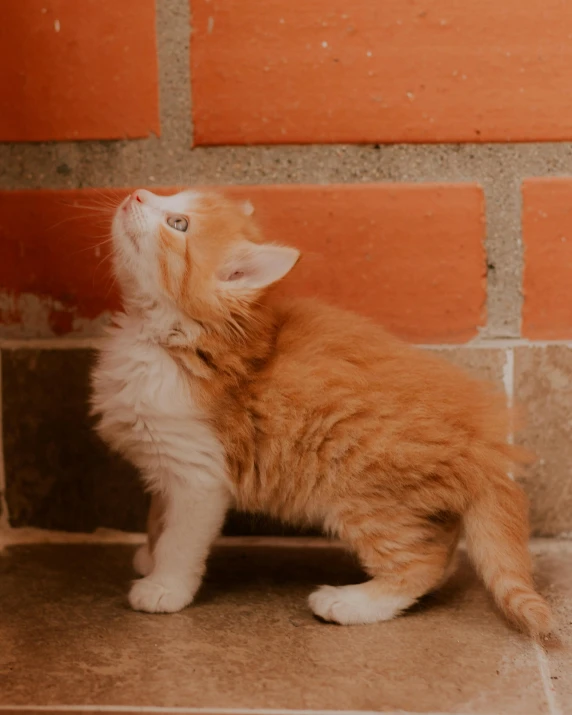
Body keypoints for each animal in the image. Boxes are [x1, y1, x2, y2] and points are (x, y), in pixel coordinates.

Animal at [91, 187, 552, 636]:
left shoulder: (199, 473)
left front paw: (164, 587)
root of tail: (484, 438)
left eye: (178, 223)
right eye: (168, 197)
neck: (165, 336)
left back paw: (351, 603)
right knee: (443, 548)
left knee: (421, 563)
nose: (136, 194)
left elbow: (180, 539)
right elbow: (158, 517)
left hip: (360, 491)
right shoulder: (165, 457)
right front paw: (150, 558)